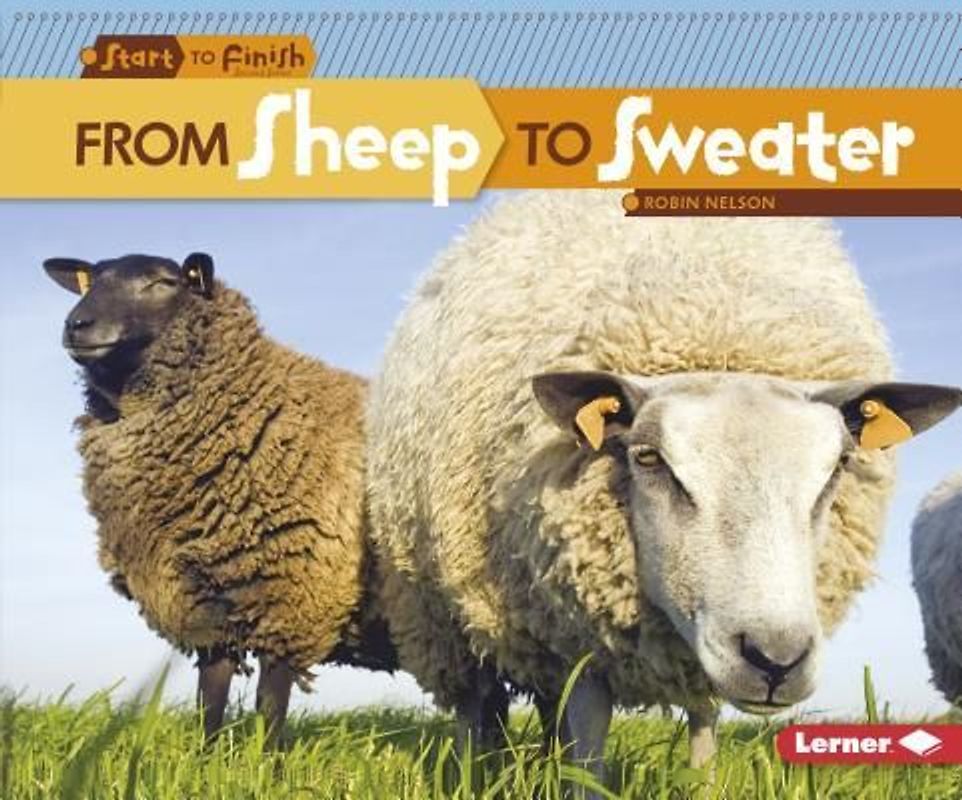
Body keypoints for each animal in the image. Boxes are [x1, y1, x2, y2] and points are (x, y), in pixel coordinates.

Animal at [44, 252, 396, 742]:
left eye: (164, 282)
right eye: (89, 282)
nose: (78, 325)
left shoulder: (292, 597)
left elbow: (270, 708)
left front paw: (266, 762)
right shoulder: (205, 607)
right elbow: (209, 701)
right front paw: (208, 756)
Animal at [366, 191, 961, 779]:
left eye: (838, 465)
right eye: (648, 458)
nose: (776, 660)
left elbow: (703, 729)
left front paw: (701, 781)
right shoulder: (583, 628)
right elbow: (590, 746)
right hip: (441, 615)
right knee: (477, 704)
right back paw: (475, 770)